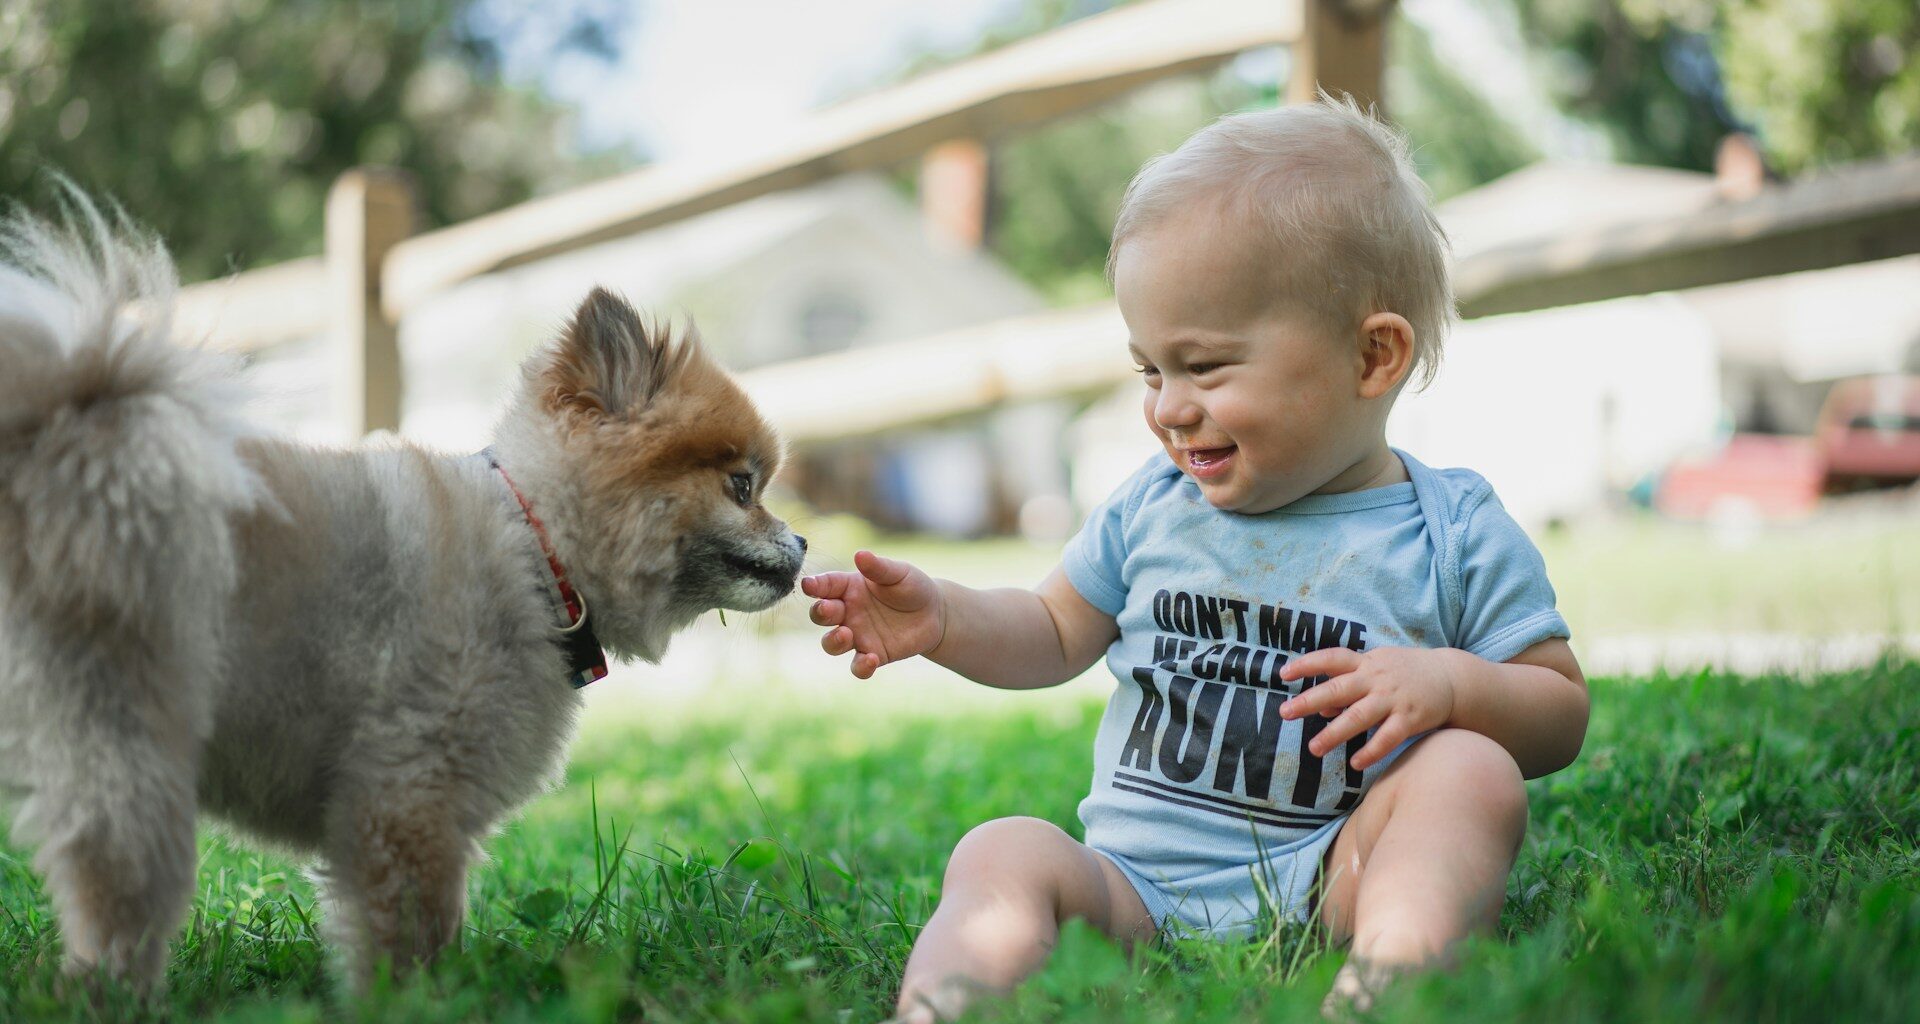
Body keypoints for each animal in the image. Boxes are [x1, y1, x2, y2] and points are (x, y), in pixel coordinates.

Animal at [0, 197, 810, 991]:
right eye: (743, 487)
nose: (804, 542)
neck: (537, 549)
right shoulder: (409, 792)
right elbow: (413, 927)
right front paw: (421, 998)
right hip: (130, 734)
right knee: (121, 887)